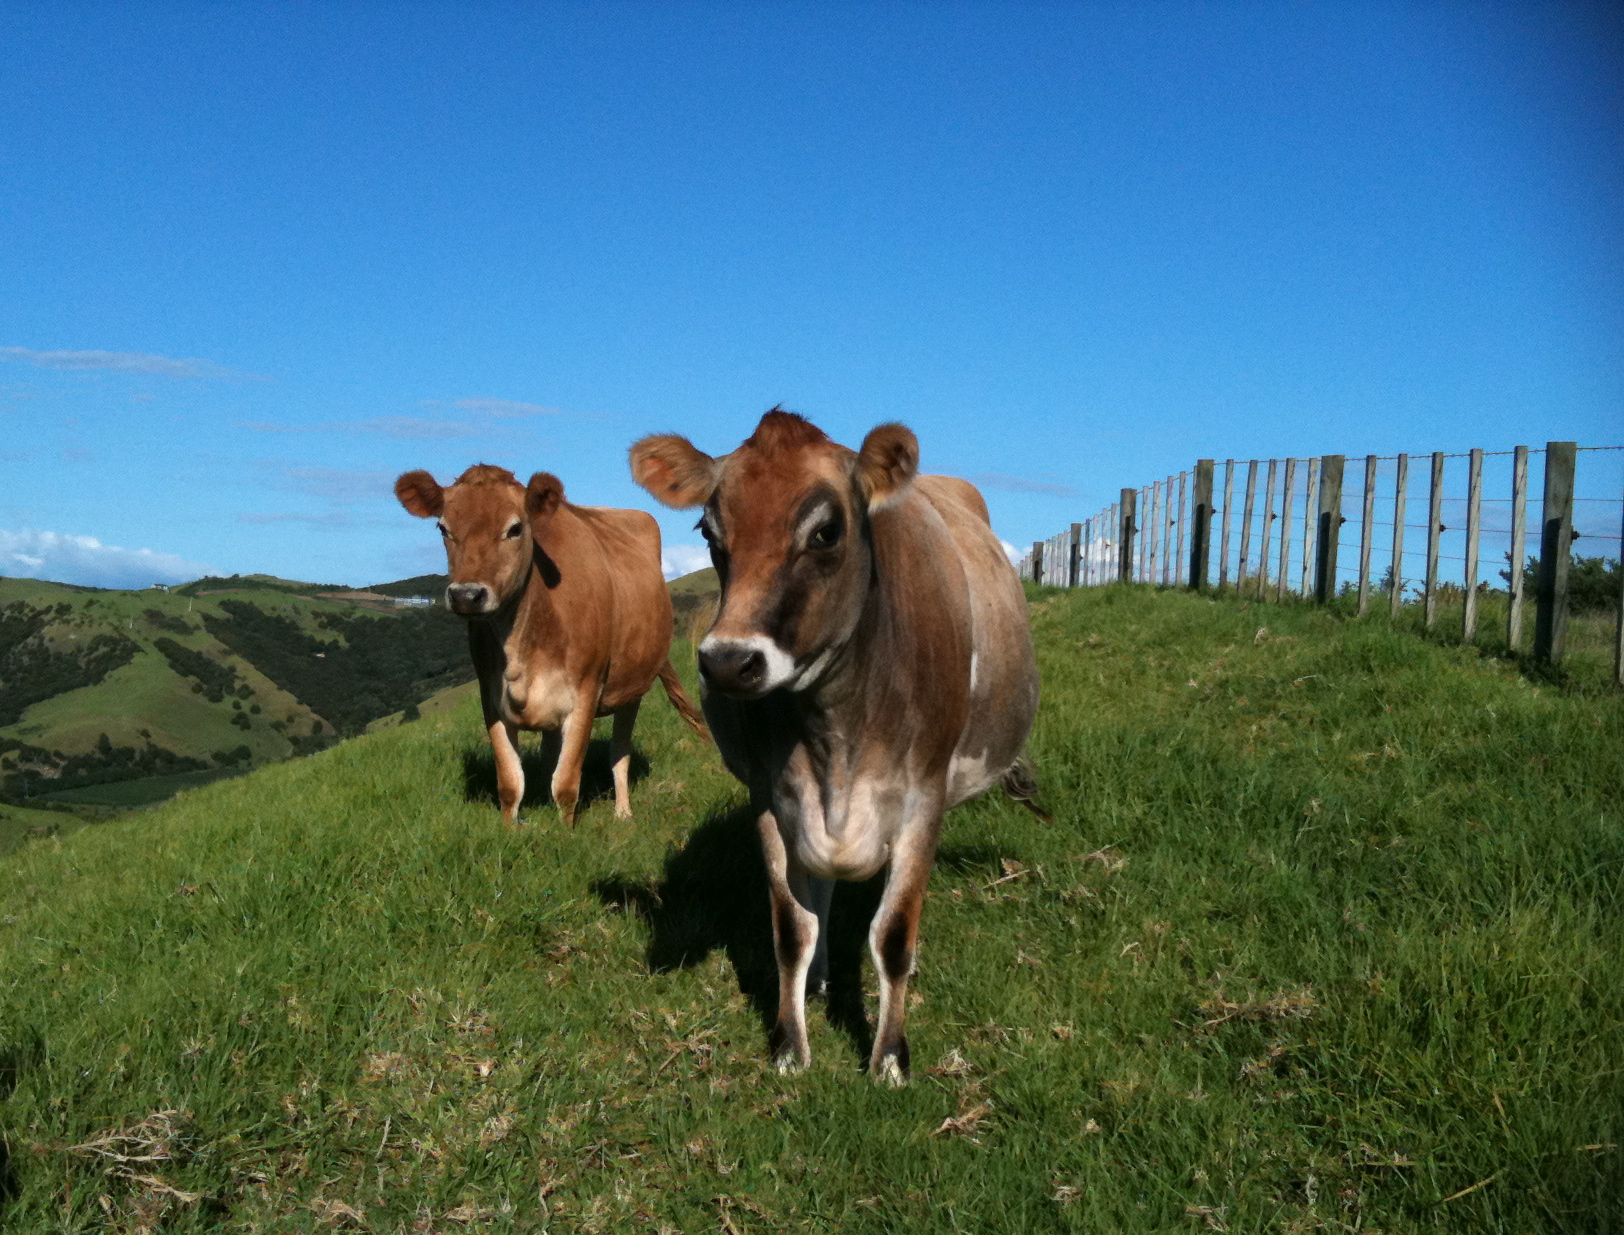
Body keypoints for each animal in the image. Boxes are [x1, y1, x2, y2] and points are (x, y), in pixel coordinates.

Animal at [394, 464, 707, 825]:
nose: (466, 595)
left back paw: (623, 812)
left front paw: (566, 831)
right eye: (443, 528)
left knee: (619, 752)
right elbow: (511, 783)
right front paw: (511, 831)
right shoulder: (491, 697)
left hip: (633, 685)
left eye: (515, 528)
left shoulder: (587, 691)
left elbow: (567, 782)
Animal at [629, 410, 1041, 1084]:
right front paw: (789, 1046)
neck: (837, 734)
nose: (728, 663)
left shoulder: (924, 800)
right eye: (708, 531)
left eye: (825, 532)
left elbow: (893, 936)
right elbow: (791, 929)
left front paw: (889, 1058)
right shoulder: (772, 799)